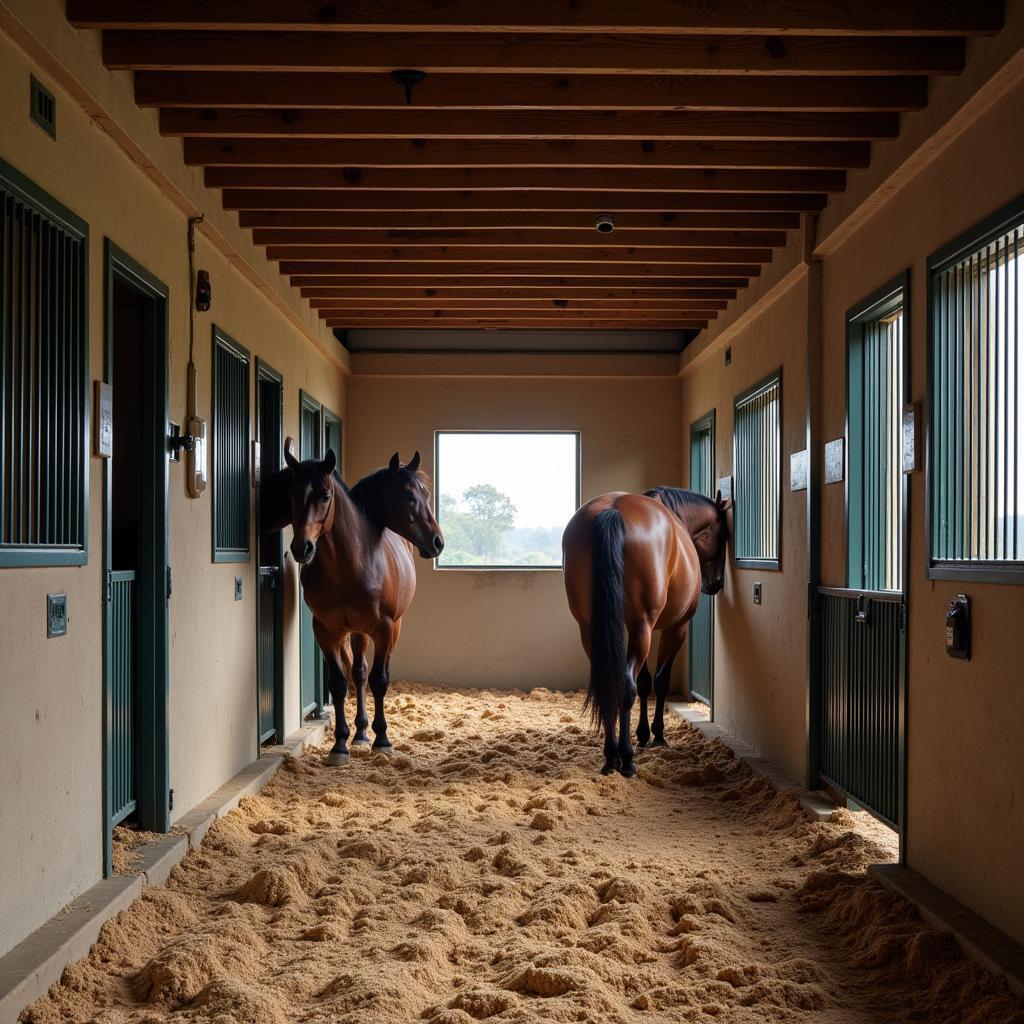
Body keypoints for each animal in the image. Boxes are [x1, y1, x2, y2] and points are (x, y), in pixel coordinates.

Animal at [262, 444, 442, 765]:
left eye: (325, 495)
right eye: (291, 494)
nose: (437, 541)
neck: (349, 565)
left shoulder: (384, 628)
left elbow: (379, 680)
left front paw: (383, 740)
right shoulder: (325, 630)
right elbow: (338, 682)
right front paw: (340, 744)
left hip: (393, 628)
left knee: (375, 671)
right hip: (356, 632)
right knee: (358, 672)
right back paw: (359, 733)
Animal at [561, 487, 737, 774]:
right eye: (723, 535)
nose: (715, 584)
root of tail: (614, 510)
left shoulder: (632, 628)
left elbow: (644, 681)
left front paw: (642, 734)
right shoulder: (675, 628)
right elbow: (660, 679)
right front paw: (656, 735)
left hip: (591, 629)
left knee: (611, 683)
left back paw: (611, 757)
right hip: (642, 627)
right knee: (626, 685)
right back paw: (626, 759)